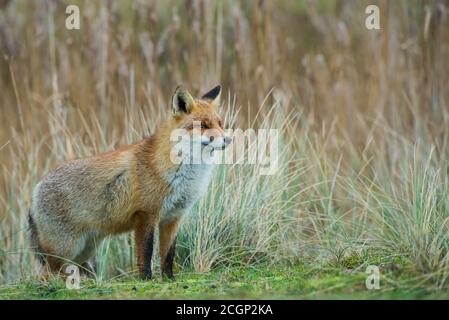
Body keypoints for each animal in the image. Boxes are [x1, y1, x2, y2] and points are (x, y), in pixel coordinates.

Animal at [28, 85, 231, 280]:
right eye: (203, 125)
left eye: (220, 123)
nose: (228, 139)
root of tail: (36, 189)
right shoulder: (146, 215)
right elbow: (145, 254)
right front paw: (146, 279)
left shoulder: (173, 218)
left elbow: (168, 255)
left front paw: (169, 279)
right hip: (65, 248)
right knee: (46, 274)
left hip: (85, 249)